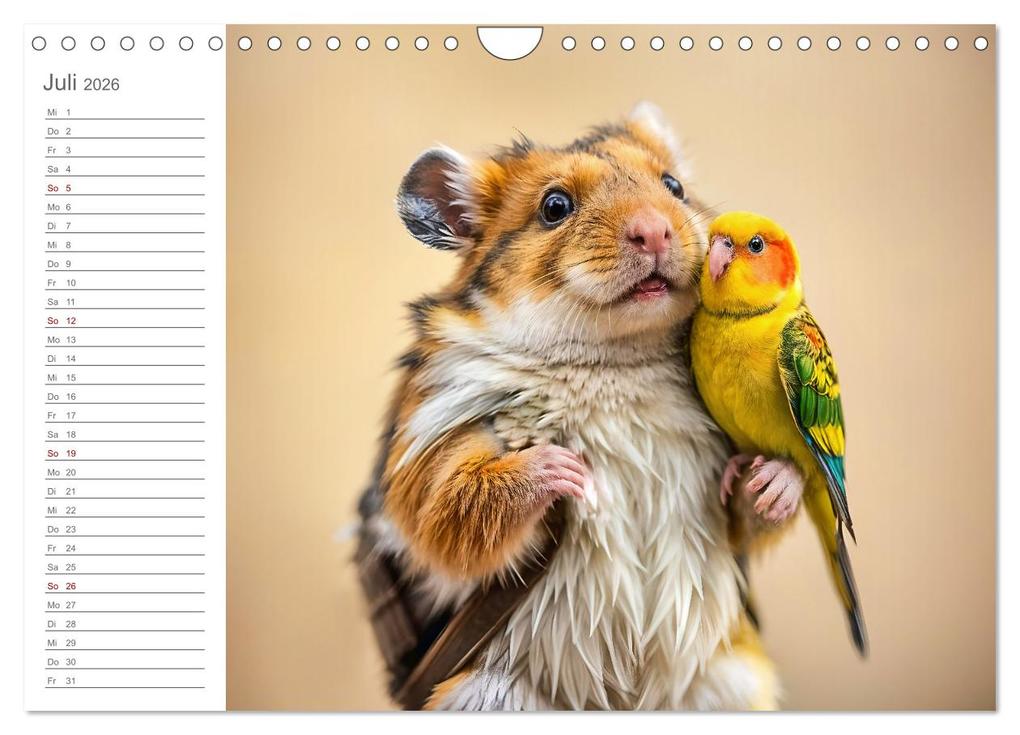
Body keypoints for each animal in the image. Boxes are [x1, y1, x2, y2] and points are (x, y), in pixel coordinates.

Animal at [357, 104, 781, 710]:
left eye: (673, 185)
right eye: (555, 207)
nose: (655, 230)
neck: (613, 364)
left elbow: (750, 512)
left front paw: (772, 480)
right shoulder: (425, 445)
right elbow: (446, 505)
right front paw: (569, 470)